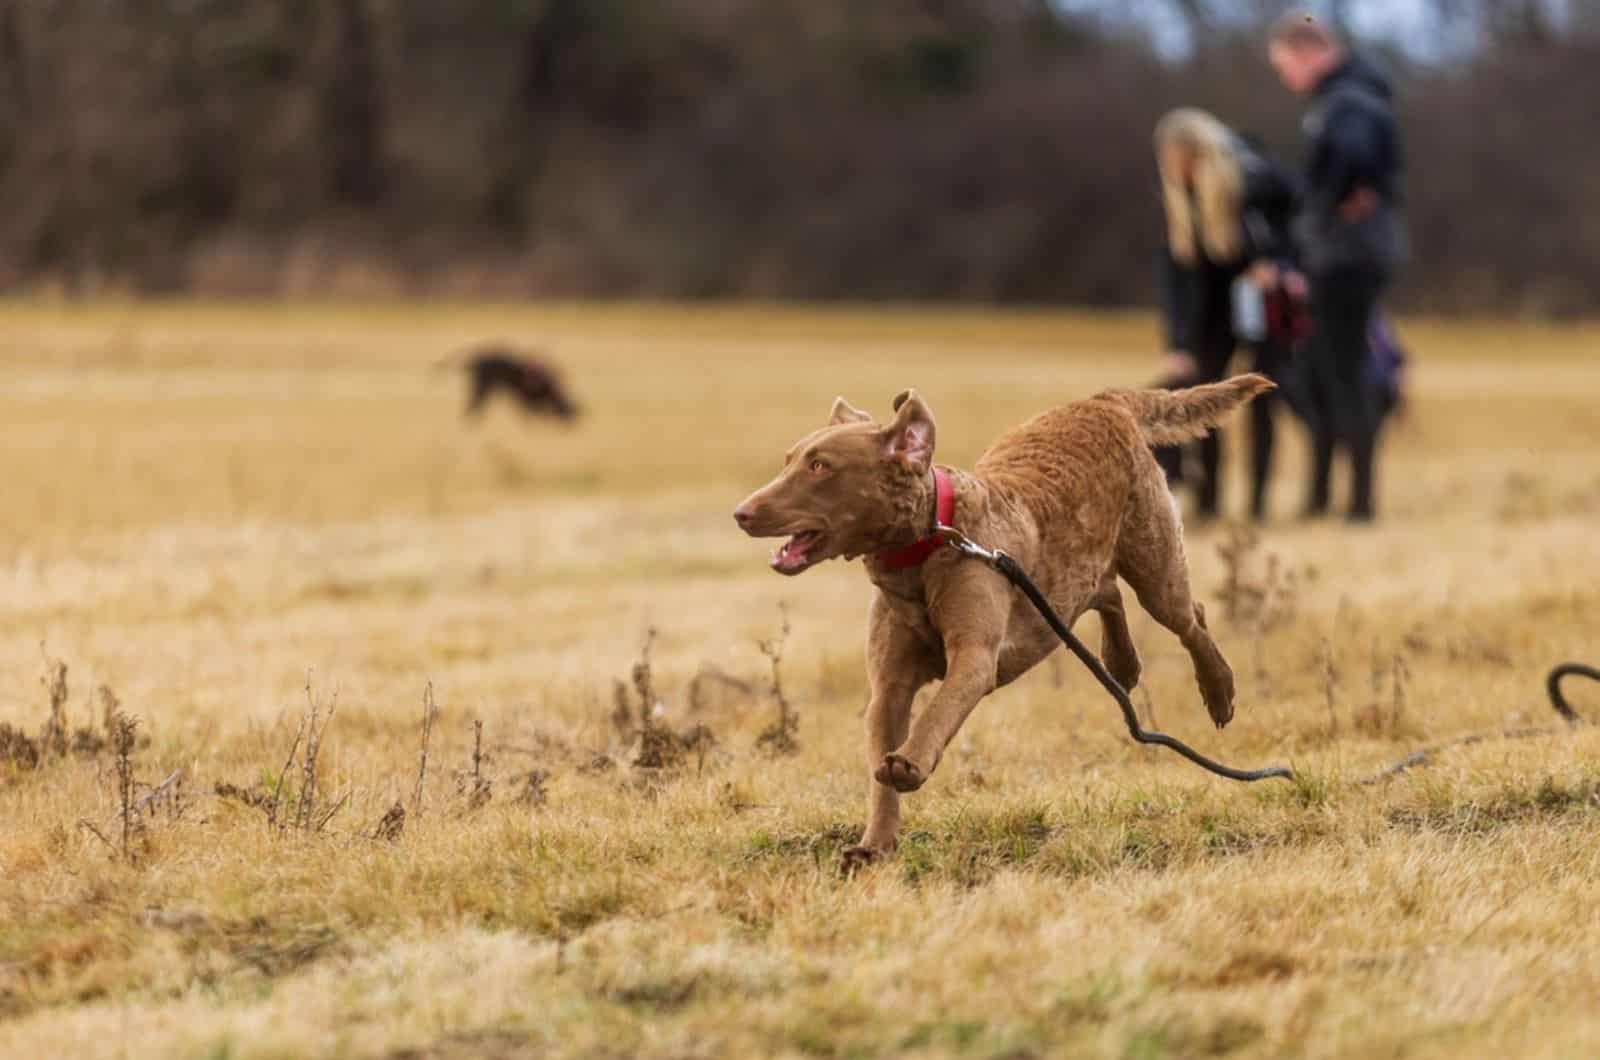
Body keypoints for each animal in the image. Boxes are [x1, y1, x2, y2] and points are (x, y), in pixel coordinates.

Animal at [736, 377, 1273, 871]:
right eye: (790, 460)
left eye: (820, 466)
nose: (742, 512)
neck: (927, 546)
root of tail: (1103, 401)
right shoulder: (888, 685)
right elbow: (878, 765)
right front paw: (874, 846)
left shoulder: (975, 657)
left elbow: (939, 711)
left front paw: (909, 763)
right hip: (1074, 578)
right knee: (1107, 592)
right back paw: (1121, 664)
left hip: (1155, 562)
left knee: (1188, 617)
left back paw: (1218, 690)